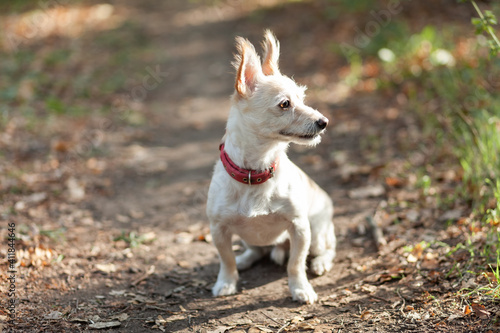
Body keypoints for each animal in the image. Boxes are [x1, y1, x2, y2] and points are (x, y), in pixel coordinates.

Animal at [207, 29, 336, 302]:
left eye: (303, 99)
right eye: (285, 104)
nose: (324, 121)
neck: (256, 170)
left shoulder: (300, 227)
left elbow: (295, 264)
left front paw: (300, 289)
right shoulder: (218, 229)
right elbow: (225, 260)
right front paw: (226, 282)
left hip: (318, 233)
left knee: (329, 249)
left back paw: (320, 263)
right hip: (246, 237)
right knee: (256, 251)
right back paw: (244, 259)